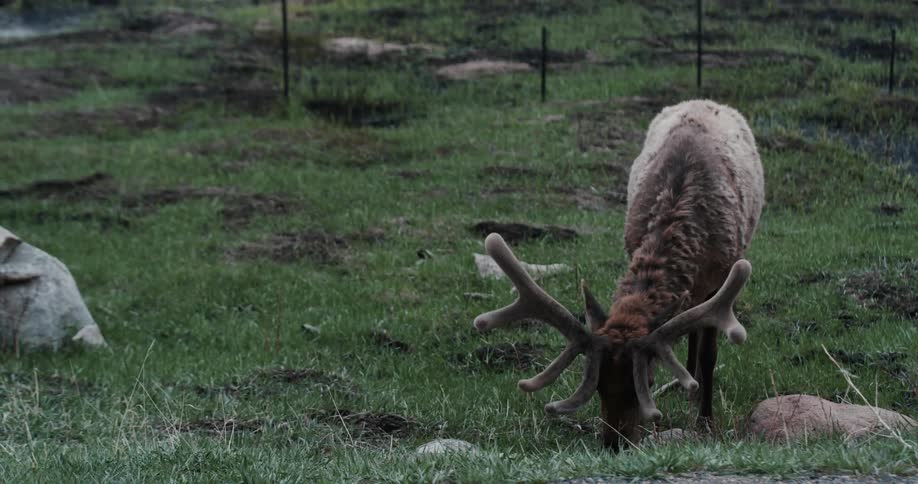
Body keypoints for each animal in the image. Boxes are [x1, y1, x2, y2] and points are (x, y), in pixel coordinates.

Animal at [474, 99, 765, 451]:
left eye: (647, 383)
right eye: (598, 385)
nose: (615, 444)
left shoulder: (721, 276)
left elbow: (710, 354)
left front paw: (706, 422)